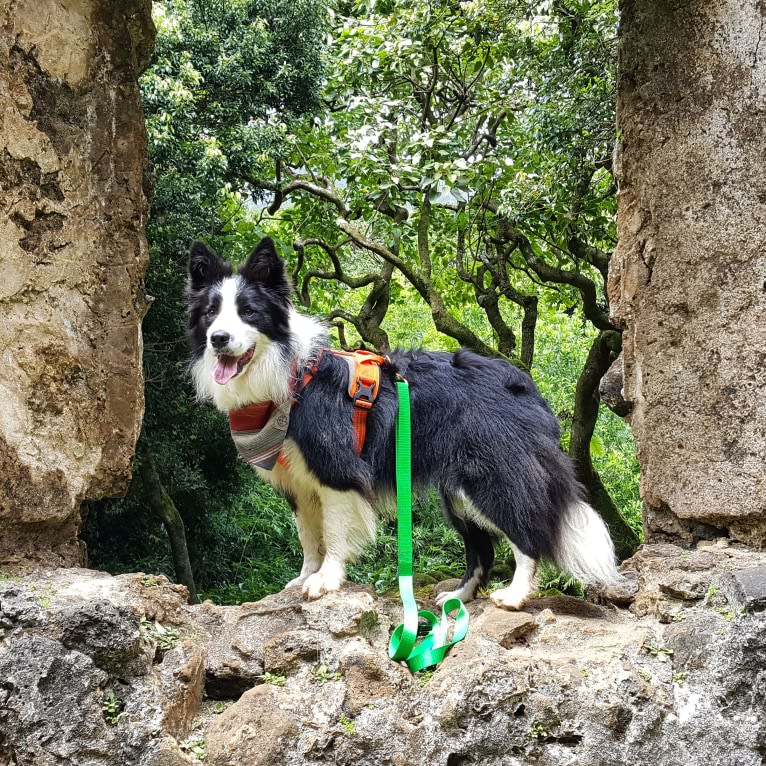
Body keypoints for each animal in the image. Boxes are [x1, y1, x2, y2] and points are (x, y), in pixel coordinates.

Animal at [188, 237, 624, 608]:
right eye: (210, 313)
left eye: (249, 312)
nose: (219, 339)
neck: (290, 377)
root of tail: (525, 385)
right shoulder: (297, 480)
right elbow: (308, 536)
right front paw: (303, 578)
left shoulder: (336, 469)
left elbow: (333, 531)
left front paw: (325, 581)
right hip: (457, 493)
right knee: (481, 548)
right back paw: (458, 598)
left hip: (491, 473)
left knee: (526, 530)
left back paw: (514, 595)